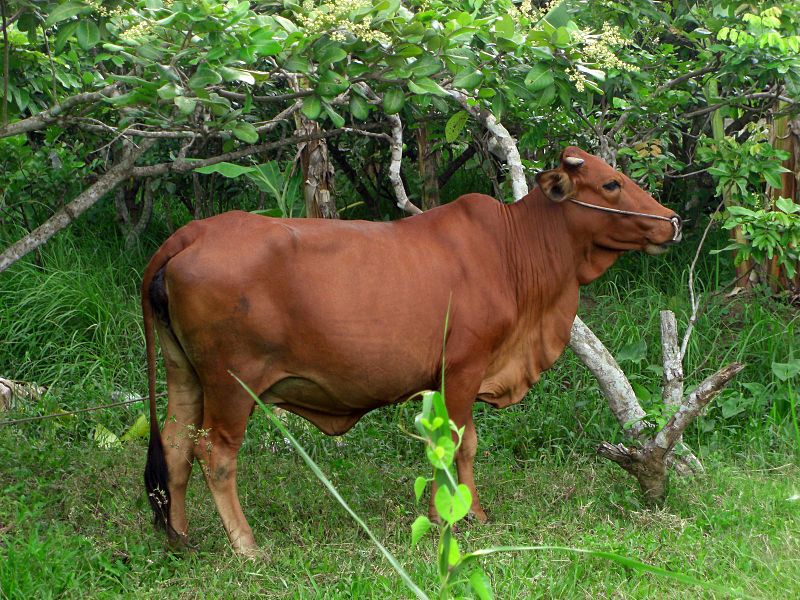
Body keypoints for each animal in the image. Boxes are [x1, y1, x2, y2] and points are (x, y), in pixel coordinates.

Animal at [141, 145, 680, 552]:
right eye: (611, 185)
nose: (671, 221)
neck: (514, 250)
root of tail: (190, 233)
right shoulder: (464, 367)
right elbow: (463, 443)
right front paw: (466, 515)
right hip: (231, 383)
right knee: (215, 453)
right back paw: (246, 545)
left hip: (184, 373)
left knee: (175, 443)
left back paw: (180, 538)